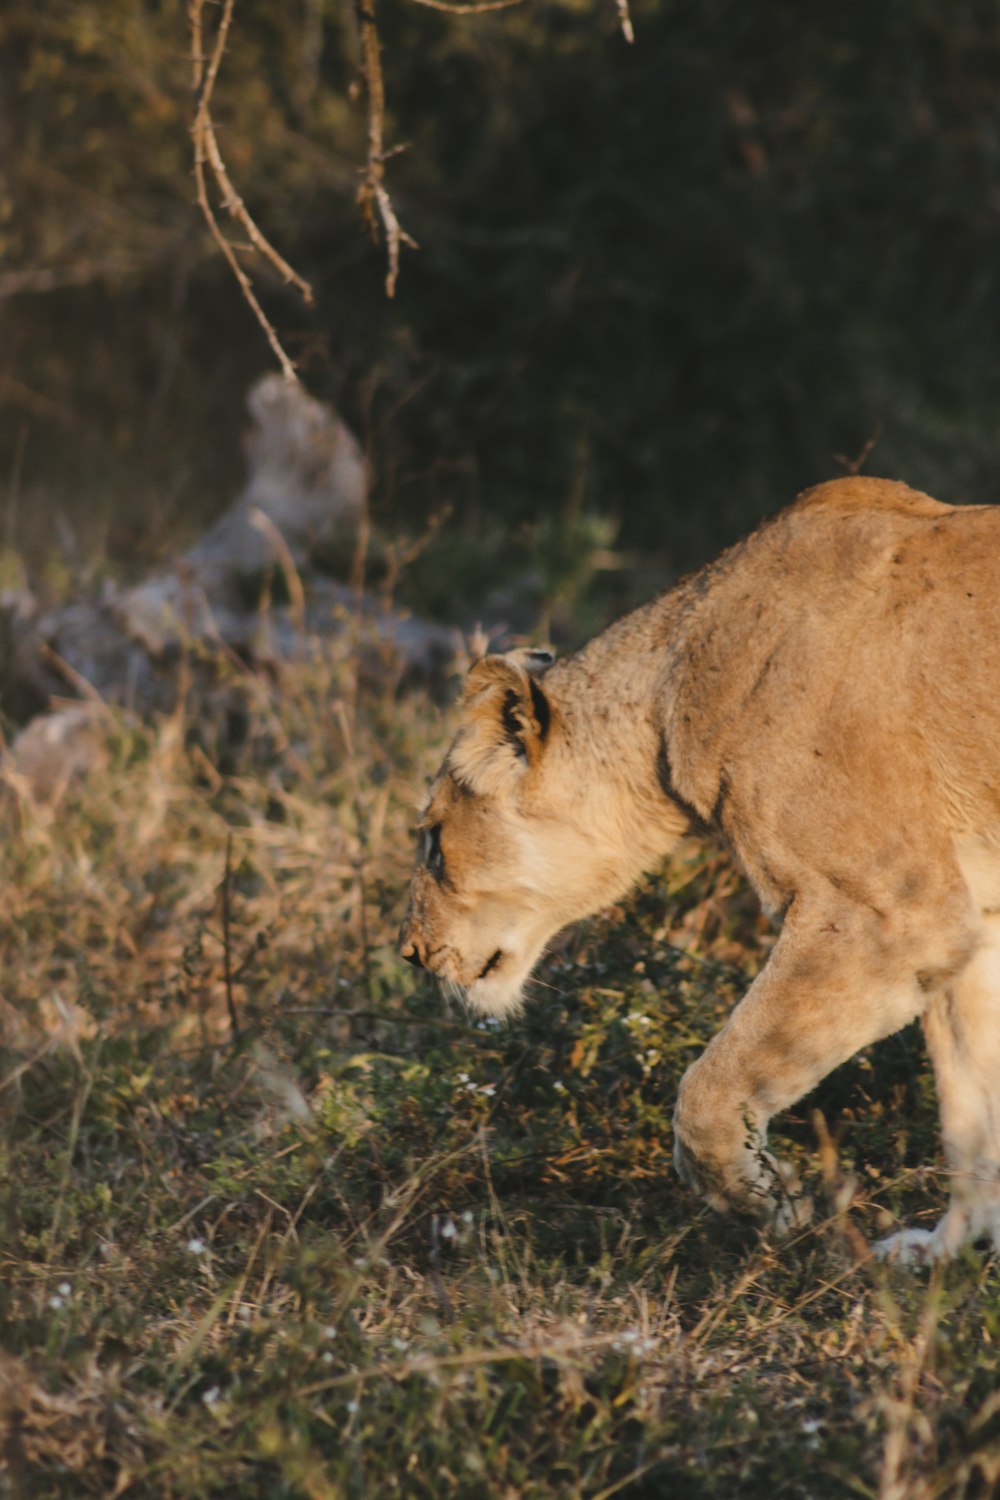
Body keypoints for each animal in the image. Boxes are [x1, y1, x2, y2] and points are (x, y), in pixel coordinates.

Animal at [401, 474, 1000, 1260]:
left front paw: (772, 1207)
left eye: (435, 842)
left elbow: (709, 1089)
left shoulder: (890, 911)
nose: (410, 953)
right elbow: (971, 1098)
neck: (668, 687)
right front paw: (950, 1251)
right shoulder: (971, 913)